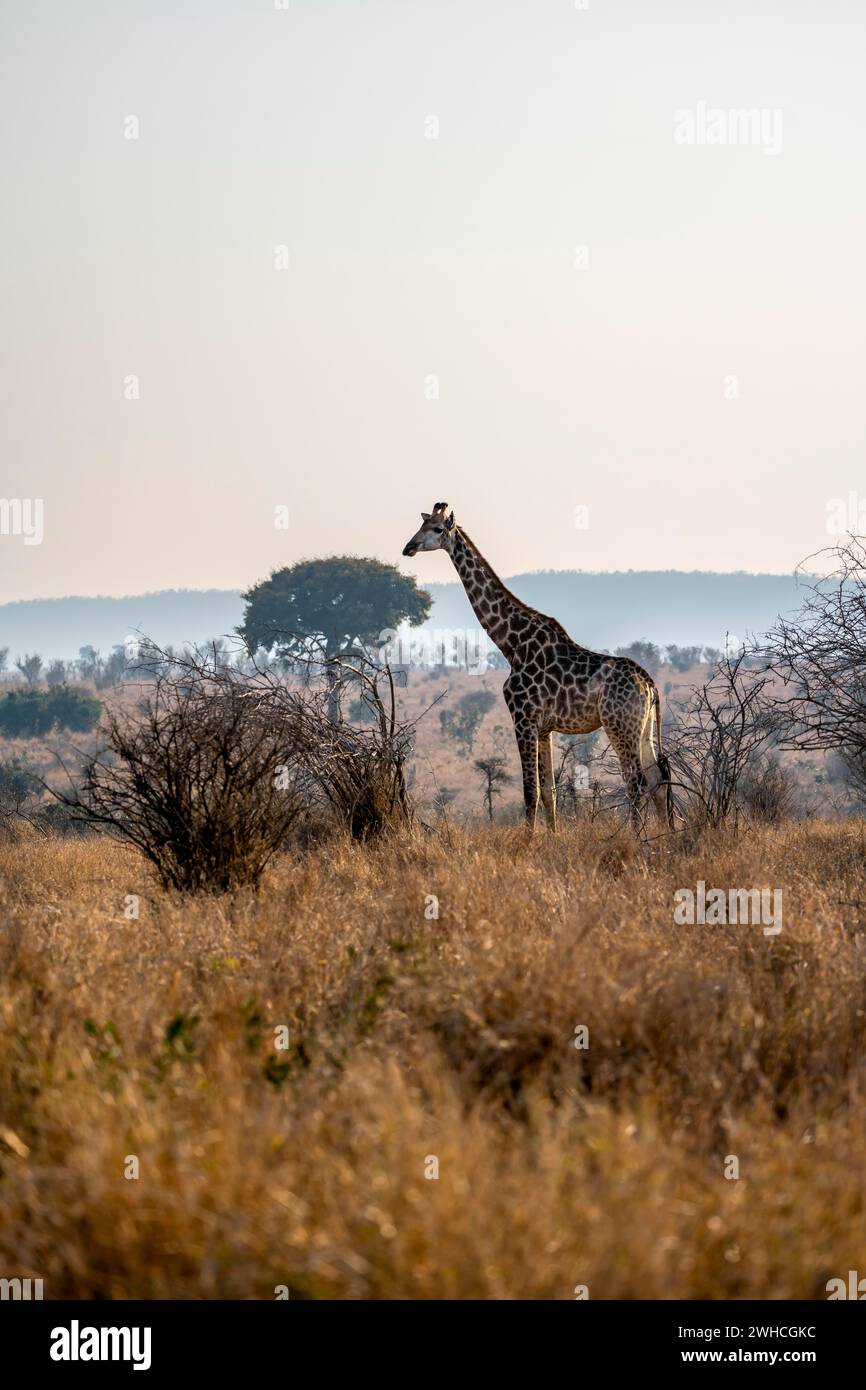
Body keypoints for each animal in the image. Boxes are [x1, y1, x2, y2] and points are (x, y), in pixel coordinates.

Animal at [402, 502, 673, 832]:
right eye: (422, 524)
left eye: (437, 528)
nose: (408, 547)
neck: (511, 645)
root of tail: (649, 683)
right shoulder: (544, 728)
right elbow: (549, 793)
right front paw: (553, 838)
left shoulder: (523, 719)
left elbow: (530, 791)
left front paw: (528, 841)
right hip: (642, 726)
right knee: (657, 778)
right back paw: (664, 837)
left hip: (619, 724)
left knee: (635, 780)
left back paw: (636, 836)